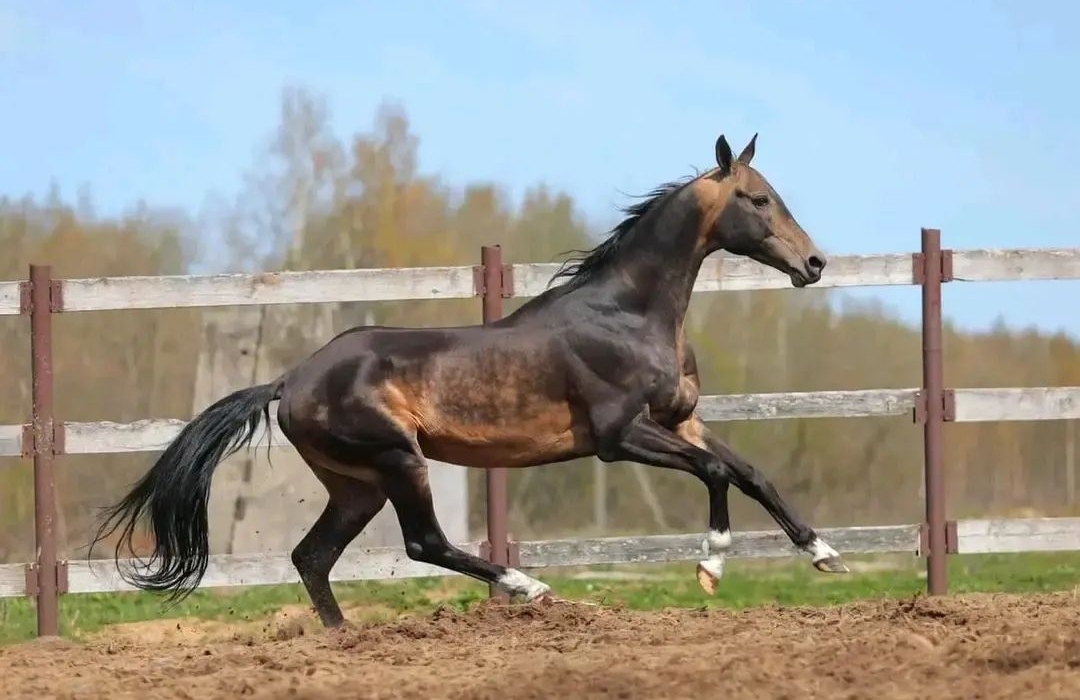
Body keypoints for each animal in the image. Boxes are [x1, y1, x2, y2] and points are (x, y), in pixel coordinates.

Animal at [90, 132, 848, 629]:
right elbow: (716, 476)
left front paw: (825, 555)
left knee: (313, 556)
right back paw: (529, 587)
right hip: (399, 461)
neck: (627, 313)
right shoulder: (618, 436)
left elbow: (751, 473)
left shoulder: (681, 421)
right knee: (422, 544)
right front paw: (711, 567)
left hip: (357, 485)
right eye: (756, 198)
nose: (813, 263)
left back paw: (345, 640)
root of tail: (286, 380)